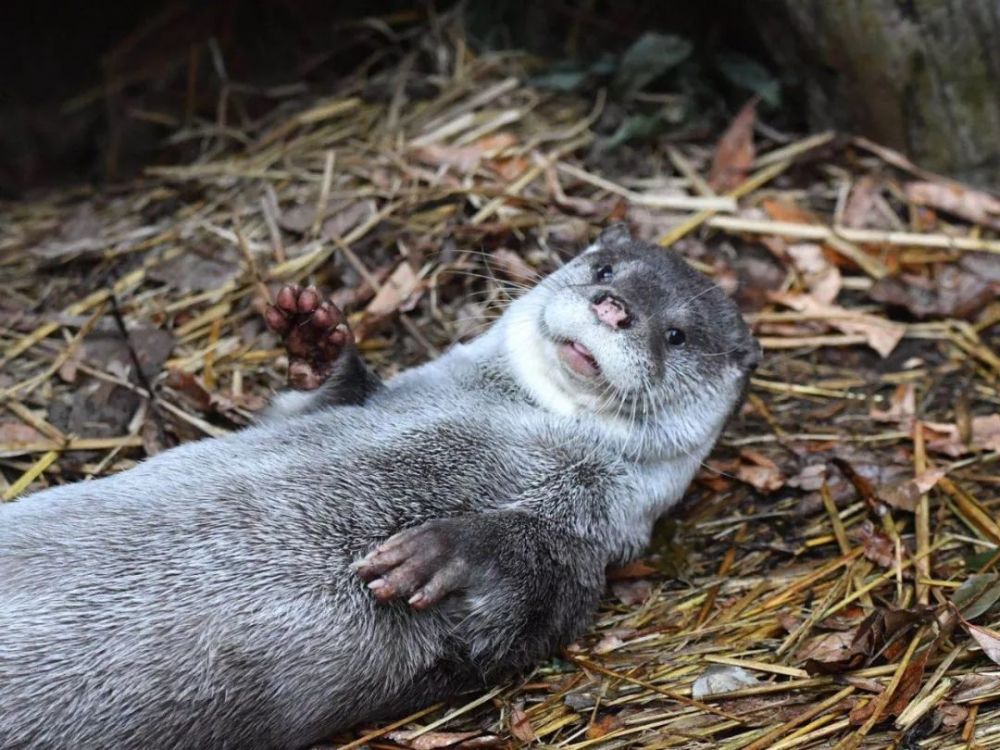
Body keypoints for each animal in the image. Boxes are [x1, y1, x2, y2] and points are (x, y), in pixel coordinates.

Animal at [0, 225, 756, 750]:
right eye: (603, 270)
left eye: (677, 334)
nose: (613, 308)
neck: (515, 412)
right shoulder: (371, 403)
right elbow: (311, 402)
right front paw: (315, 337)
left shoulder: (597, 540)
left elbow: (526, 593)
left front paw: (438, 551)